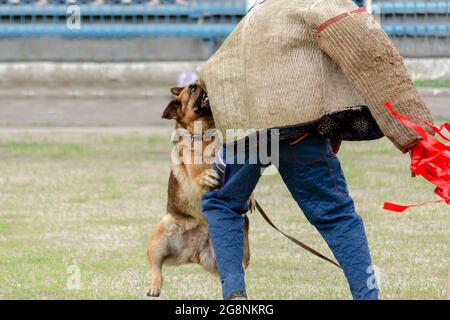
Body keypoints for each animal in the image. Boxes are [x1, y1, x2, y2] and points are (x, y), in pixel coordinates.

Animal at [149, 82, 251, 298]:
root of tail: (193, 253)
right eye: (192, 90)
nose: (199, 83)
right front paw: (206, 176)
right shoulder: (195, 181)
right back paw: (154, 286)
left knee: (240, 258)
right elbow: (199, 177)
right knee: (156, 266)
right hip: (162, 231)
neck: (206, 134)